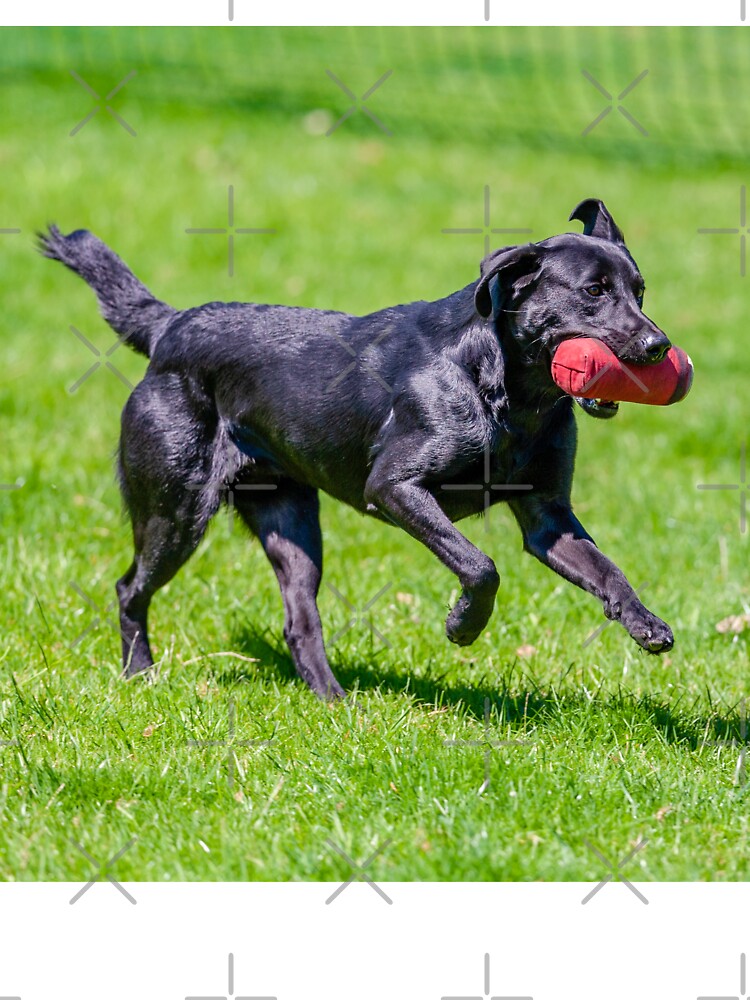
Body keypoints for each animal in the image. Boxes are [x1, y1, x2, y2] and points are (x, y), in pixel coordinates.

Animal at [41, 199, 676, 700]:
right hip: (175, 510)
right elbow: (480, 565)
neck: (505, 392)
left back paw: (335, 703)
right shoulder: (394, 487)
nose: (657, 345)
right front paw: (463, 627)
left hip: (292, 524)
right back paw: (140, 675)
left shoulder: (548, 518)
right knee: (130, 589)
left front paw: (647, 625)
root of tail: (170, 328)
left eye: (641, 291)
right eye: (593, 291)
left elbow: (609, 572)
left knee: (300, 623)